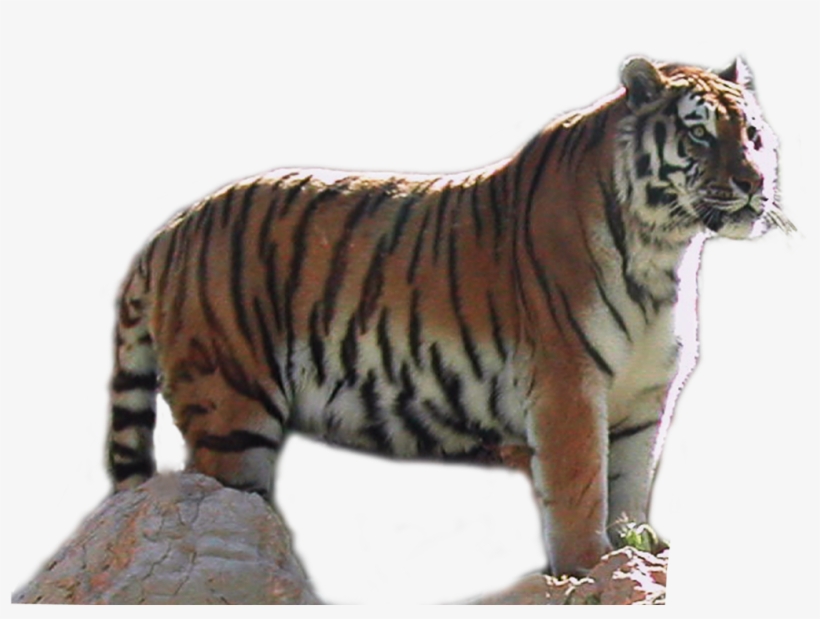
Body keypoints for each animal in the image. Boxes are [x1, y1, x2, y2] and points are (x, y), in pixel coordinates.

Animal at [106, 56, 792, 578]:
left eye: (753, 136)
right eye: (700, 134)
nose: (755, 182)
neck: (664, 253)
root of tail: (171, 229)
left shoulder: (644, 399)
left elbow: (628, 490)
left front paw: (631, 554)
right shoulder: (568, 385)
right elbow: (580, 489)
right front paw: (586, 569)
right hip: (232, 412)